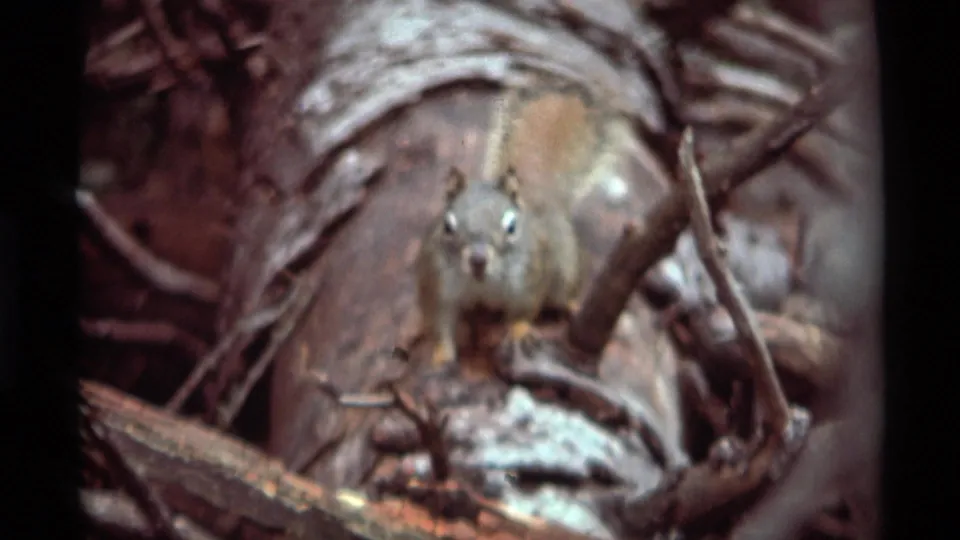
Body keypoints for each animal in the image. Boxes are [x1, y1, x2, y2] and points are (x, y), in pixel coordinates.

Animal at [416, 74, 629, 367]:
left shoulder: (528, 278)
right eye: (448, 226)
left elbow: (523, 311)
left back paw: (573, 304)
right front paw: (440, 355)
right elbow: (439, 323)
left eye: (511, 227)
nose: (478, 260)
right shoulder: (436, 283)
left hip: (566, 265)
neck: (482, 283)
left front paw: (518, 331)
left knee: (564, 291)